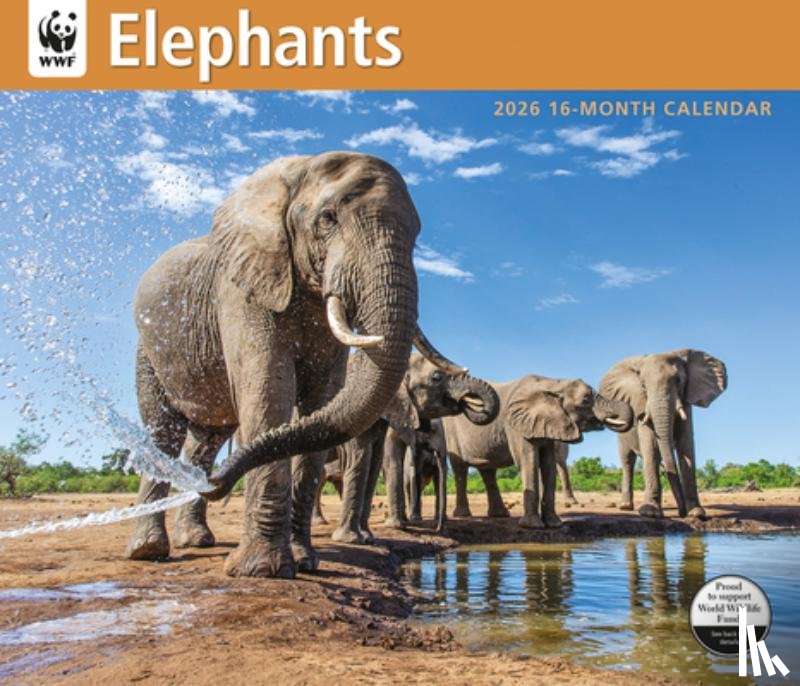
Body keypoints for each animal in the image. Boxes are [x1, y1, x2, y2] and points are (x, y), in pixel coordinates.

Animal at [126, 151, 467, 578]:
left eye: (417, 235)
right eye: (328, 218)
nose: (219, 481)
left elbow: (322, 400)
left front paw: (305, 562)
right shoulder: (243, 288)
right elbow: (269, 388)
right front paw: (262, 571)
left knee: (205, 440)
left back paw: (196, 534)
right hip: (149, 347)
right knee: (163, 430)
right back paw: (149, 549)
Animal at [444, 375, 632, 528]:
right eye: (586, 400)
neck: (553, 384)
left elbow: (548, 465)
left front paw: (554, 525)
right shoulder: (516, 424)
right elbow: (528, 462)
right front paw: (532, 526)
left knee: (487, 470)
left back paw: (499, 515)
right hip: (451, 433)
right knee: (460, 469)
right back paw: (463, 515)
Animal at [599, 349, 727, 518]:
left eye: (679, 381)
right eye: (643, 386)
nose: (681, 512)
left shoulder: (686, 400)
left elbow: (686, 445)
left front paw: (696, 513)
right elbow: (651, 445)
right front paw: (650, 513)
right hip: (622, 435)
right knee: (628, 461)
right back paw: (626, 507)